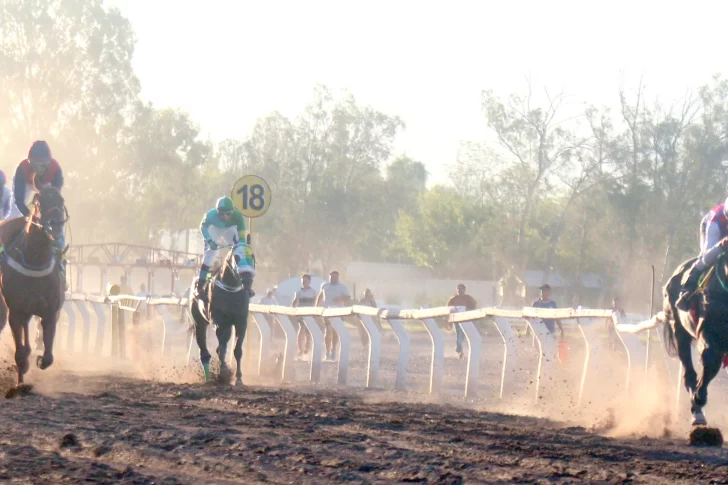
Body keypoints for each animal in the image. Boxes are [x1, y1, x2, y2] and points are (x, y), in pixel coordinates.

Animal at [0, 180, 67, 384]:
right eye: (38, 201)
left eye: (61, 200)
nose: (54, 226)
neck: (35, 262)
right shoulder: (15, 310)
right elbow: (20, 352)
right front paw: (21, 378)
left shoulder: (50, 311)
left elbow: (48, 357)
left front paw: (39, 360)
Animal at [189, 242, 252, 386]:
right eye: (237, 257)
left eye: (252, 256)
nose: (247, 280)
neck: (231, 290)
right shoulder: (219, 322)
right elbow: (222, 349)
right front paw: (223, 373)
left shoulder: (241, 323)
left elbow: (237, 350)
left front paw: (238, 378)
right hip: (199, 322)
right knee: (204, 352)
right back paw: (208, 378)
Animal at [664, 255, 728, 426]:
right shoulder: (708, 330)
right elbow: (710, 360)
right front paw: (699, 397)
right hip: (679, 330)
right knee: (690, 374)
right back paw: (697, 411)